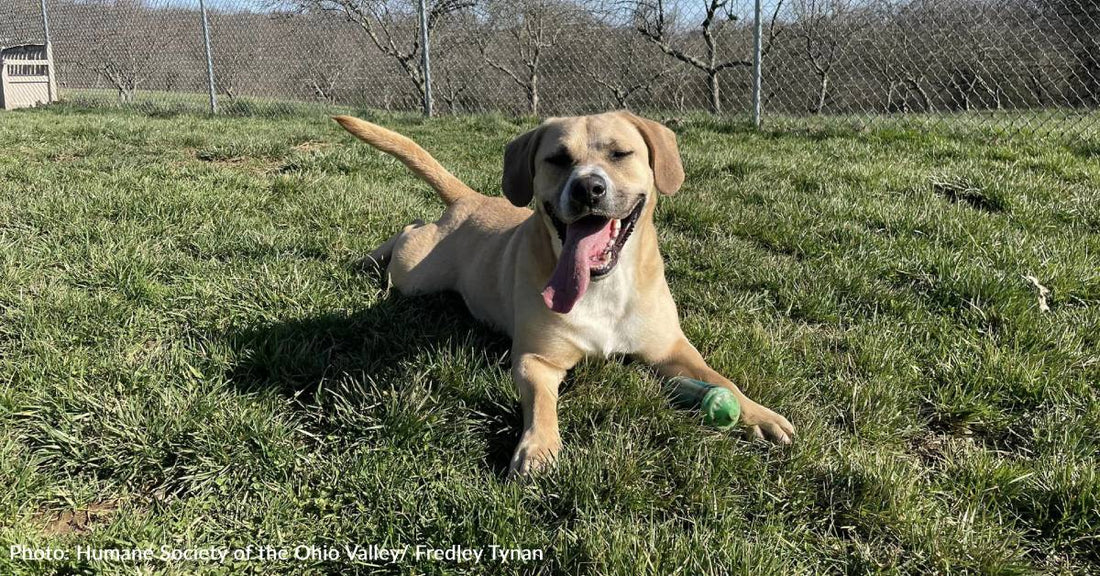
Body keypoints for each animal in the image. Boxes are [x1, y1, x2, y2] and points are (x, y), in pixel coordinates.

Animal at [330, 109, 796, 477]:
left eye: (620, 154)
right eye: (557, 159)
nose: (588, 187)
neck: (603, 286)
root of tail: (471, 198)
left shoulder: (672, 350)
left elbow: (722, 379)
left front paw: (759, 414)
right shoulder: (537, 360)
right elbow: (541, 403)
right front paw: (539, 446)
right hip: (416, 275)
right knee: (409, 230)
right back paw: (370, 259)